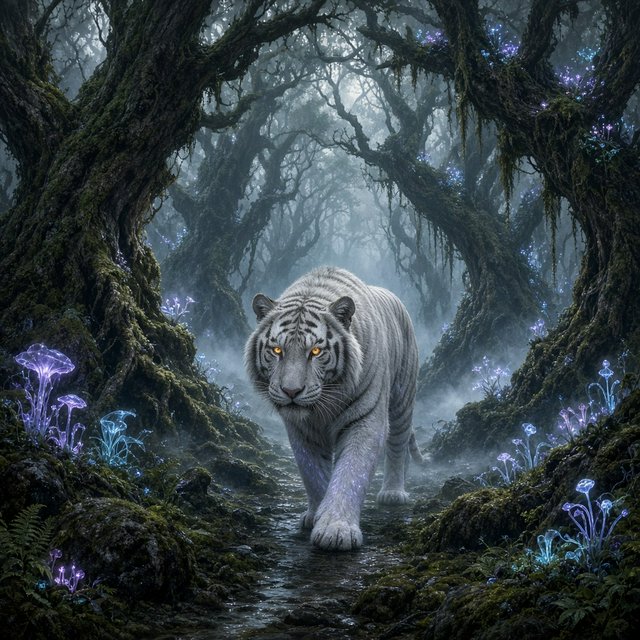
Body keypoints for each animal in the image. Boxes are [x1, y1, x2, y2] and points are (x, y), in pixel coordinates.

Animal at [245, 266, 423, 551]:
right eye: (277, 350)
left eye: (316, 351)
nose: (291, 391)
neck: (320, 409)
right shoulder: (301, 431)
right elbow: (313, 474)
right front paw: (314, 516)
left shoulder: (365, 420)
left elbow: (350, 473)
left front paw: (336, 530)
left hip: (402, 399)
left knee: (398, 444)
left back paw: (393, 493)